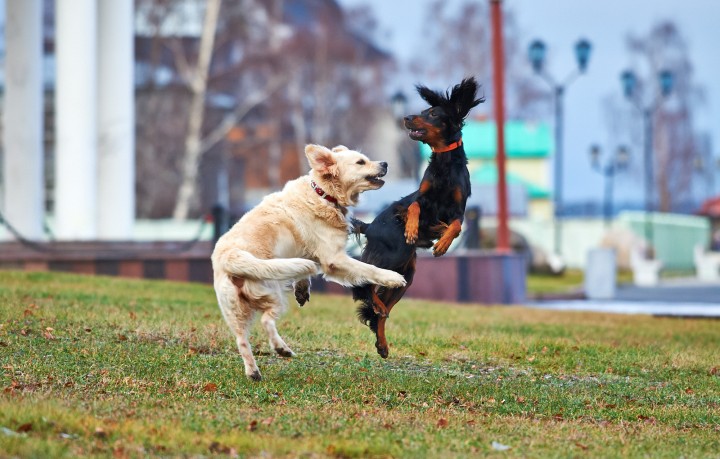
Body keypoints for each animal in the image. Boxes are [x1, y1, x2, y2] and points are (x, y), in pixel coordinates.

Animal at [350, 78, 480, 360]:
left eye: (432, 113)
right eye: (421, 111)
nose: (406, 117)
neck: (444, 163)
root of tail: (369, 226)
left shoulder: (459, 209)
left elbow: (455, 225)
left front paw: (442, 245)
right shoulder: (420, 196)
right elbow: (413, 207)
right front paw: (411, 229)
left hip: (404, 277)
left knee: (381, 311)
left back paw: (382, 342)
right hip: (393, 255)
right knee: (366, 282)